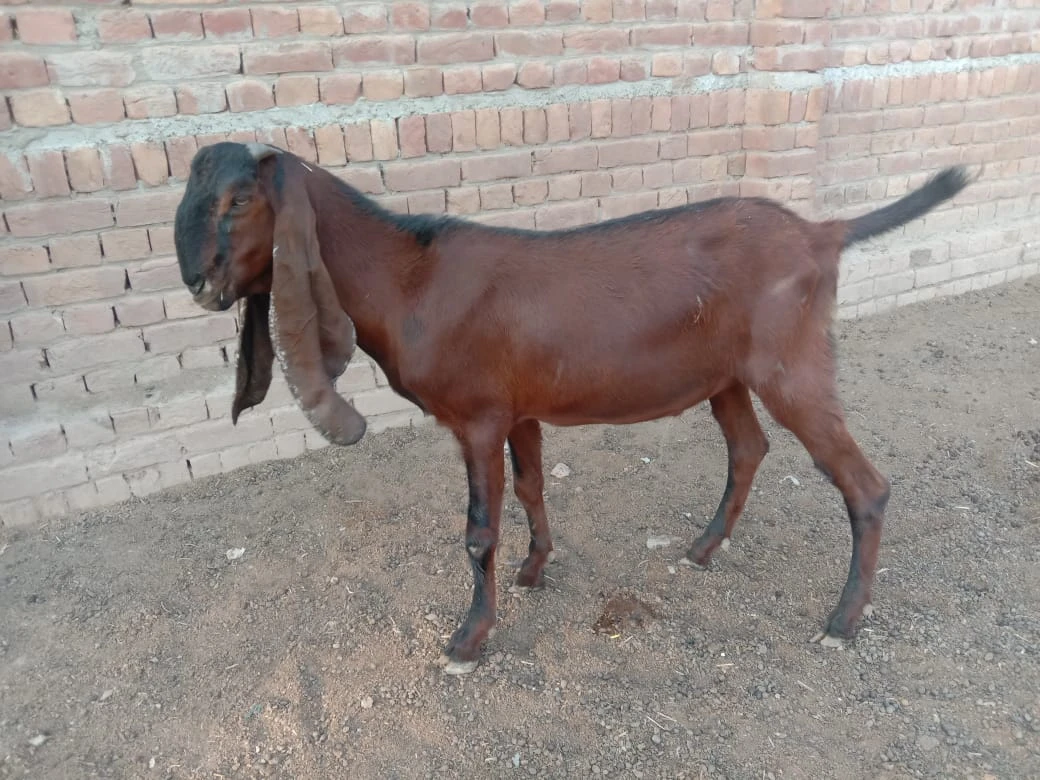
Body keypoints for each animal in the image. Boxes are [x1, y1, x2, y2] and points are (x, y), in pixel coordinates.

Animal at [172, 142, 973, 678]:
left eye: (239, 200)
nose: (198, 283)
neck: (412, 278)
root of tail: (819, 233)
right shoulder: (518, 408)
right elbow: (531, 486)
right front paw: (535, 568)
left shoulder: (477, 416)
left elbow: (478, 532)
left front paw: (469, 639)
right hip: (727, 374)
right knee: (748, 448)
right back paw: (702, 549)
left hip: (792, 364)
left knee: (863, 484)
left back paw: (842, 620)